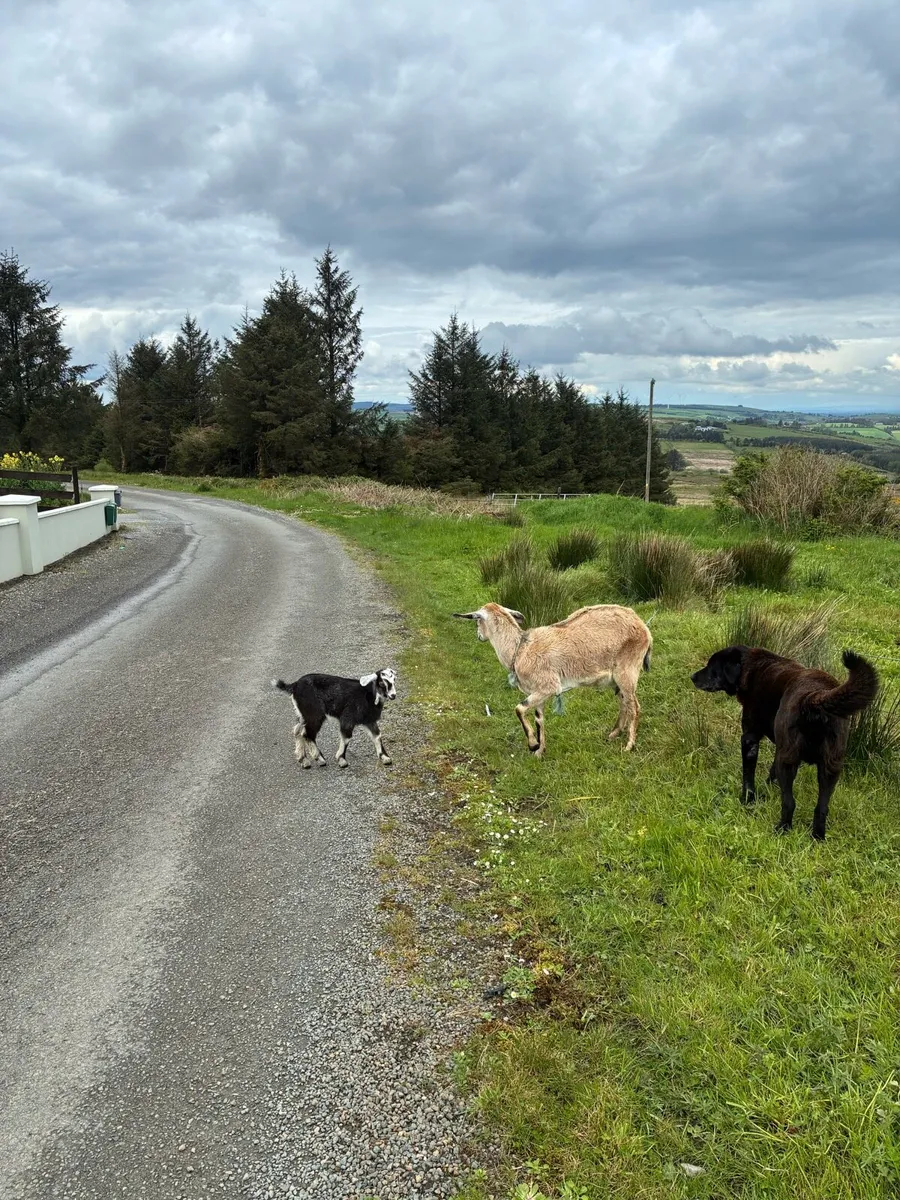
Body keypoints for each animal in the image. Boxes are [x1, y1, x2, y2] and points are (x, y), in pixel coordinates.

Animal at [453, 603, 652, 755]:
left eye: (477, 620)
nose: (479, 636)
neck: (520, 649)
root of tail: (644, 628)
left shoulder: (547, 686)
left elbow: (519, 709)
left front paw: (533, 745)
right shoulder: (537, 692)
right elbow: (539, 719)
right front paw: (540, 751)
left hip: (628, 670)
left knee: (635, 706)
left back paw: (629, 745)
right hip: (616, 678)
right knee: (624, 703)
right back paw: (614, 734)